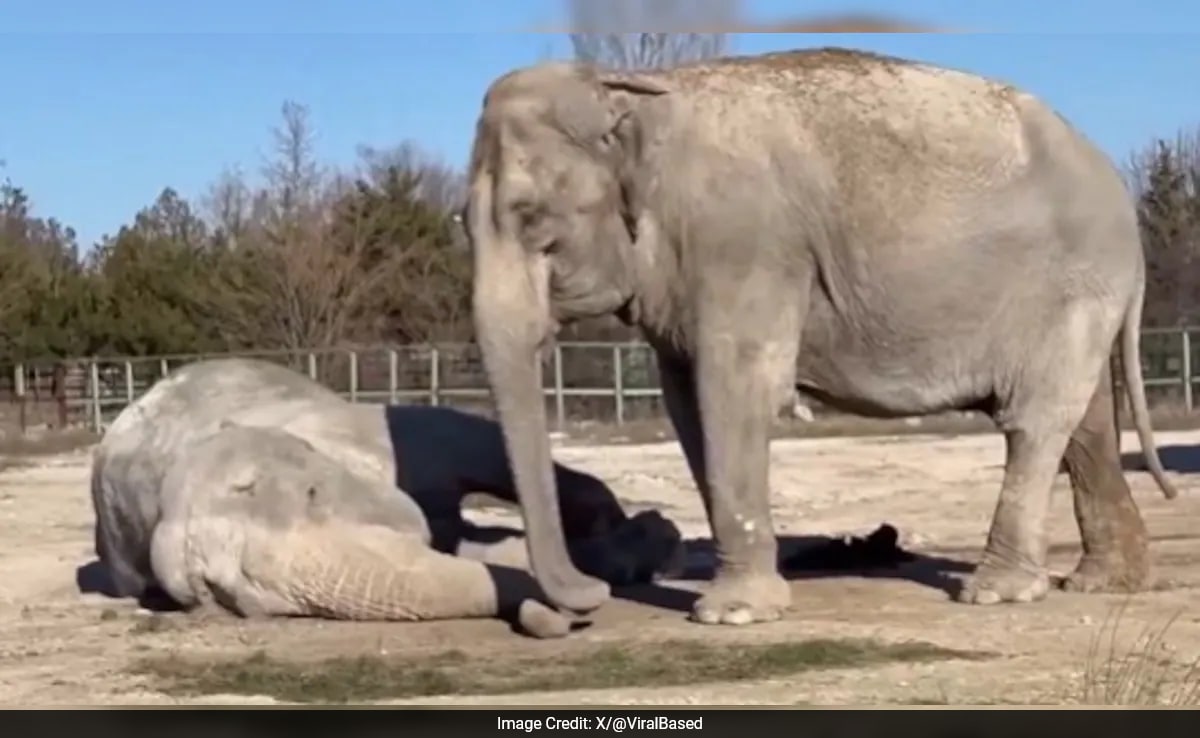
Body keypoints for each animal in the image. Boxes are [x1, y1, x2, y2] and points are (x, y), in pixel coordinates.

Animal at [91, 358, 684, 632]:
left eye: (312, 493)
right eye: (236, 598)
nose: (563, 619)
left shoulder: (377, 433)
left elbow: (473, 444)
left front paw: (636, 534)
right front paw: (631, 549)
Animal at [459, 46, 1178, 626]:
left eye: (533, 222)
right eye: (463, 222)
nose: (592, 596)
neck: (633, 93)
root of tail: (1120, 193)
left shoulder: (744, 245)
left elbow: (736, 390)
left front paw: (732, 616)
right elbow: (689, 407)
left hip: (1073, 287)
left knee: (1035, 420)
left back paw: (997, 592)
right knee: (1084, 426)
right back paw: (1102, 584)